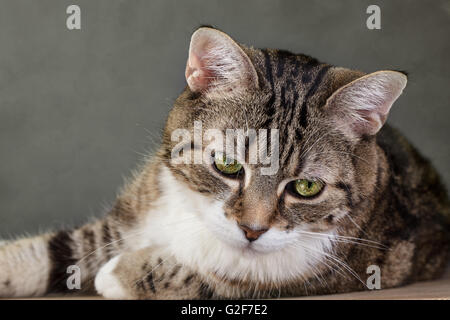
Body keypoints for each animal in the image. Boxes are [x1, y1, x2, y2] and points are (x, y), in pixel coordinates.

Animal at [0, 28, 450, 300]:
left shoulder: (314, 274)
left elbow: (204, 275)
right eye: (229, 165)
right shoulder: (128, 218)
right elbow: (51, 250)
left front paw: (118, 272)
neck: (195, 215)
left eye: (306, 187)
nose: (252, 230)